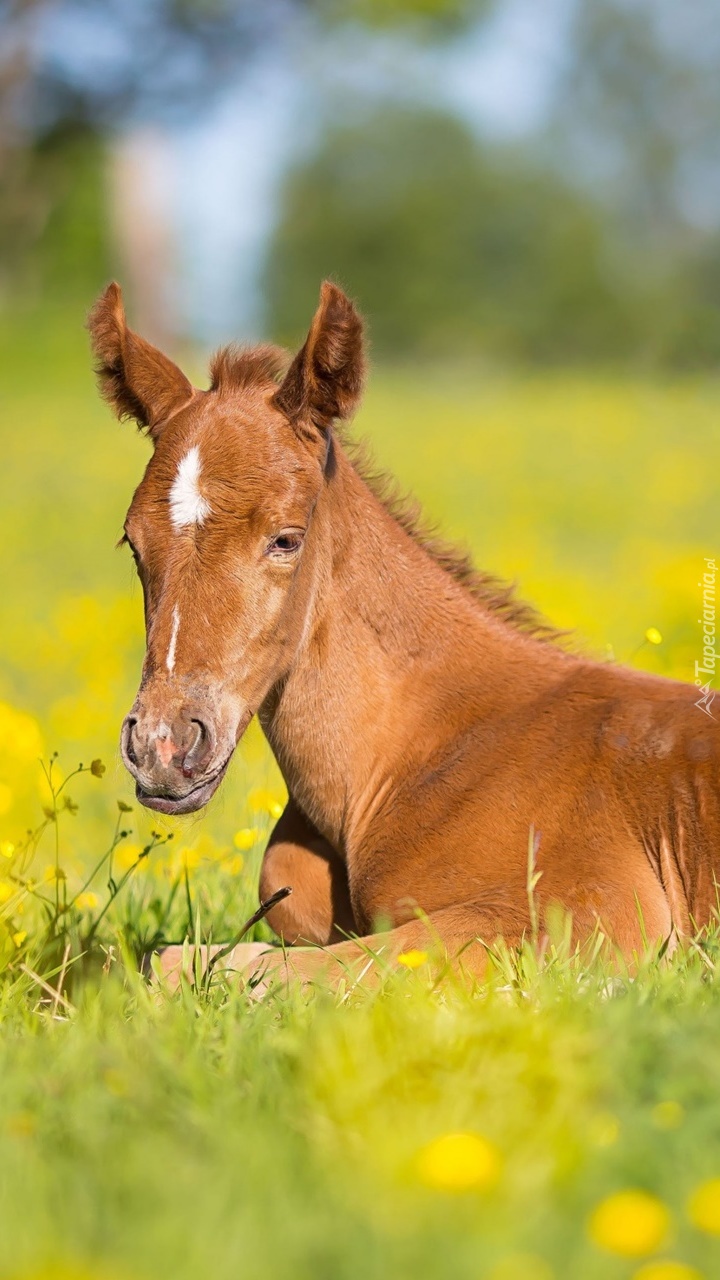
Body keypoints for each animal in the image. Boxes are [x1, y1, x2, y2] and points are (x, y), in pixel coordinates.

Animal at [88, 277, 717, 977]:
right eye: (133, 544)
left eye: (286, 539)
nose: (162, 746)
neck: (418, 749)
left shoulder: (594, 916)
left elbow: (234, 968)